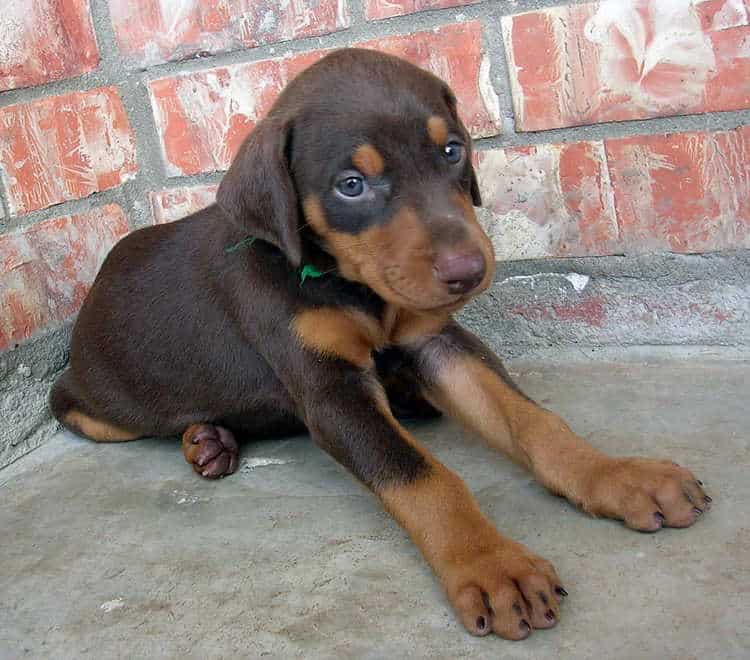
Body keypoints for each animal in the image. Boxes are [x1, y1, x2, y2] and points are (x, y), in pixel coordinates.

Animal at [50, 50, 712, 640]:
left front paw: (616, 475)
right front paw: (492, 565)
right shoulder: (329, 387)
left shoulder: (436, 342)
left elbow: (532, 420)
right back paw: (204, 438)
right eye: (351, 185)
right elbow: (421, 475)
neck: (348, 283)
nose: (469, 271)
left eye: (452, 150)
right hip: (89, 407)